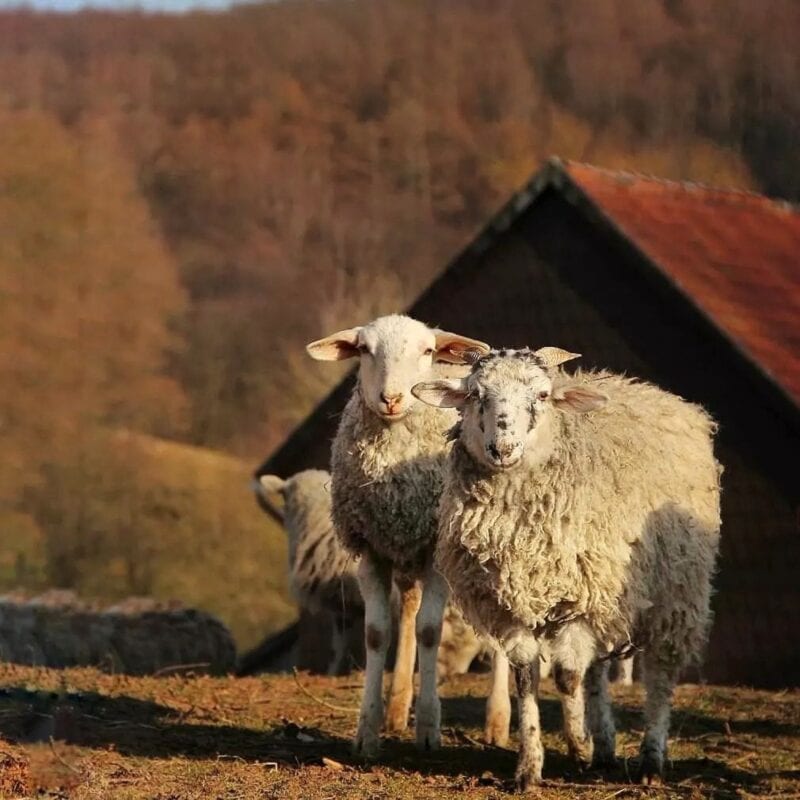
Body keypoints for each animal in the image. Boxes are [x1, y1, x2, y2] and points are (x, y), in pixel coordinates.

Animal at [306, 314, 491, 756]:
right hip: (405, 551)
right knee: (407, 610)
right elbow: (377, 635)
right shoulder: (371, 549)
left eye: (426, 351)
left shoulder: (438, 549)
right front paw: (367, 731)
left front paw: (428, 728)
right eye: (364, 349)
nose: (390, 398)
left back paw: (498, 724)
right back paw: (397, 707)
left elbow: (430, 631)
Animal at [413, 347, 721, 790]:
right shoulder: (510, 606)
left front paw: (579, 745)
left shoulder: (581, 600)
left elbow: (566, 675)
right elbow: (527, 679)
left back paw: (650, 760)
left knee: (660, 673)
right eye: (475, 394)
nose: (502, 448)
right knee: (598, 670)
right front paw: (530, 767)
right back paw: (606, 745)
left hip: (676, 589)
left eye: (542, 395)